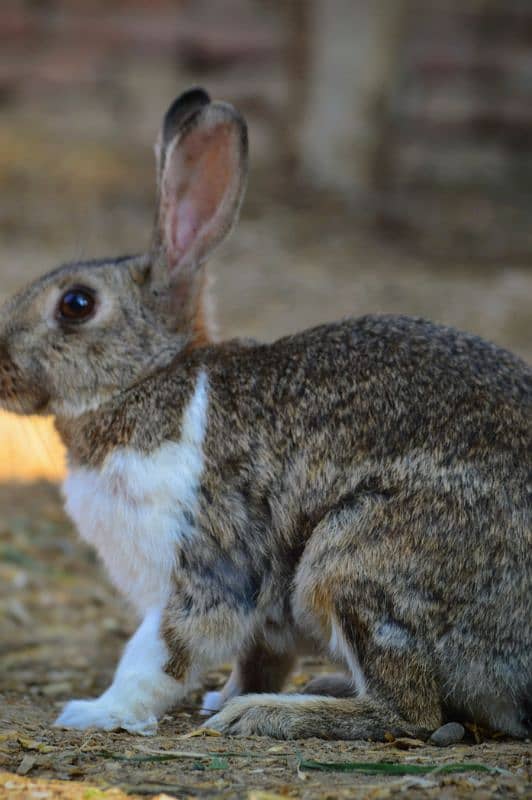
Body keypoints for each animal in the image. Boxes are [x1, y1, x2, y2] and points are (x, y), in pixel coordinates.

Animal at [1, 89, 532, 736]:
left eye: (76, 305)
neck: (147, 379)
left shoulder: (204, 563)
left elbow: (160, 652)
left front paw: (97, 712)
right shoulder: (259, 616)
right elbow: (259, 656)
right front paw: (222, 694)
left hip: (355, 560)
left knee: (409, 713)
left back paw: (267, 715)